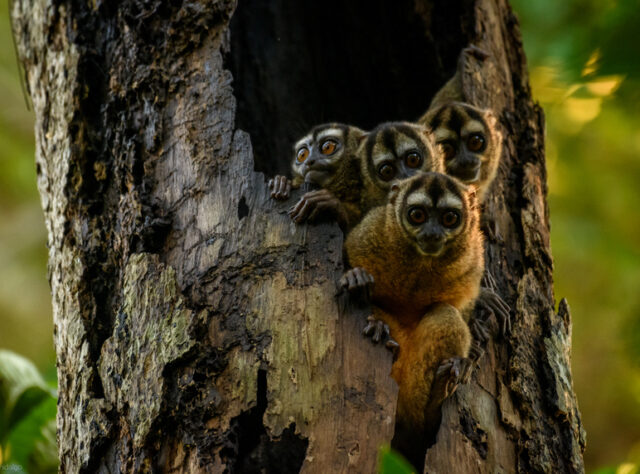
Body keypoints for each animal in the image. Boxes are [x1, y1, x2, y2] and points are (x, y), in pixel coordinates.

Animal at [338, 172, 484, 468]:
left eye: (449, 218)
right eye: (417, 215)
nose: (432, 233)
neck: (420, 262)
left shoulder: (473, 260)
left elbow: (461, 310)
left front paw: (469, 361)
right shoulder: (372, 232)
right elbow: (349, 253)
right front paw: (355, 279)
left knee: (445, 314)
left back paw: (440, 390)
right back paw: (384, 335)